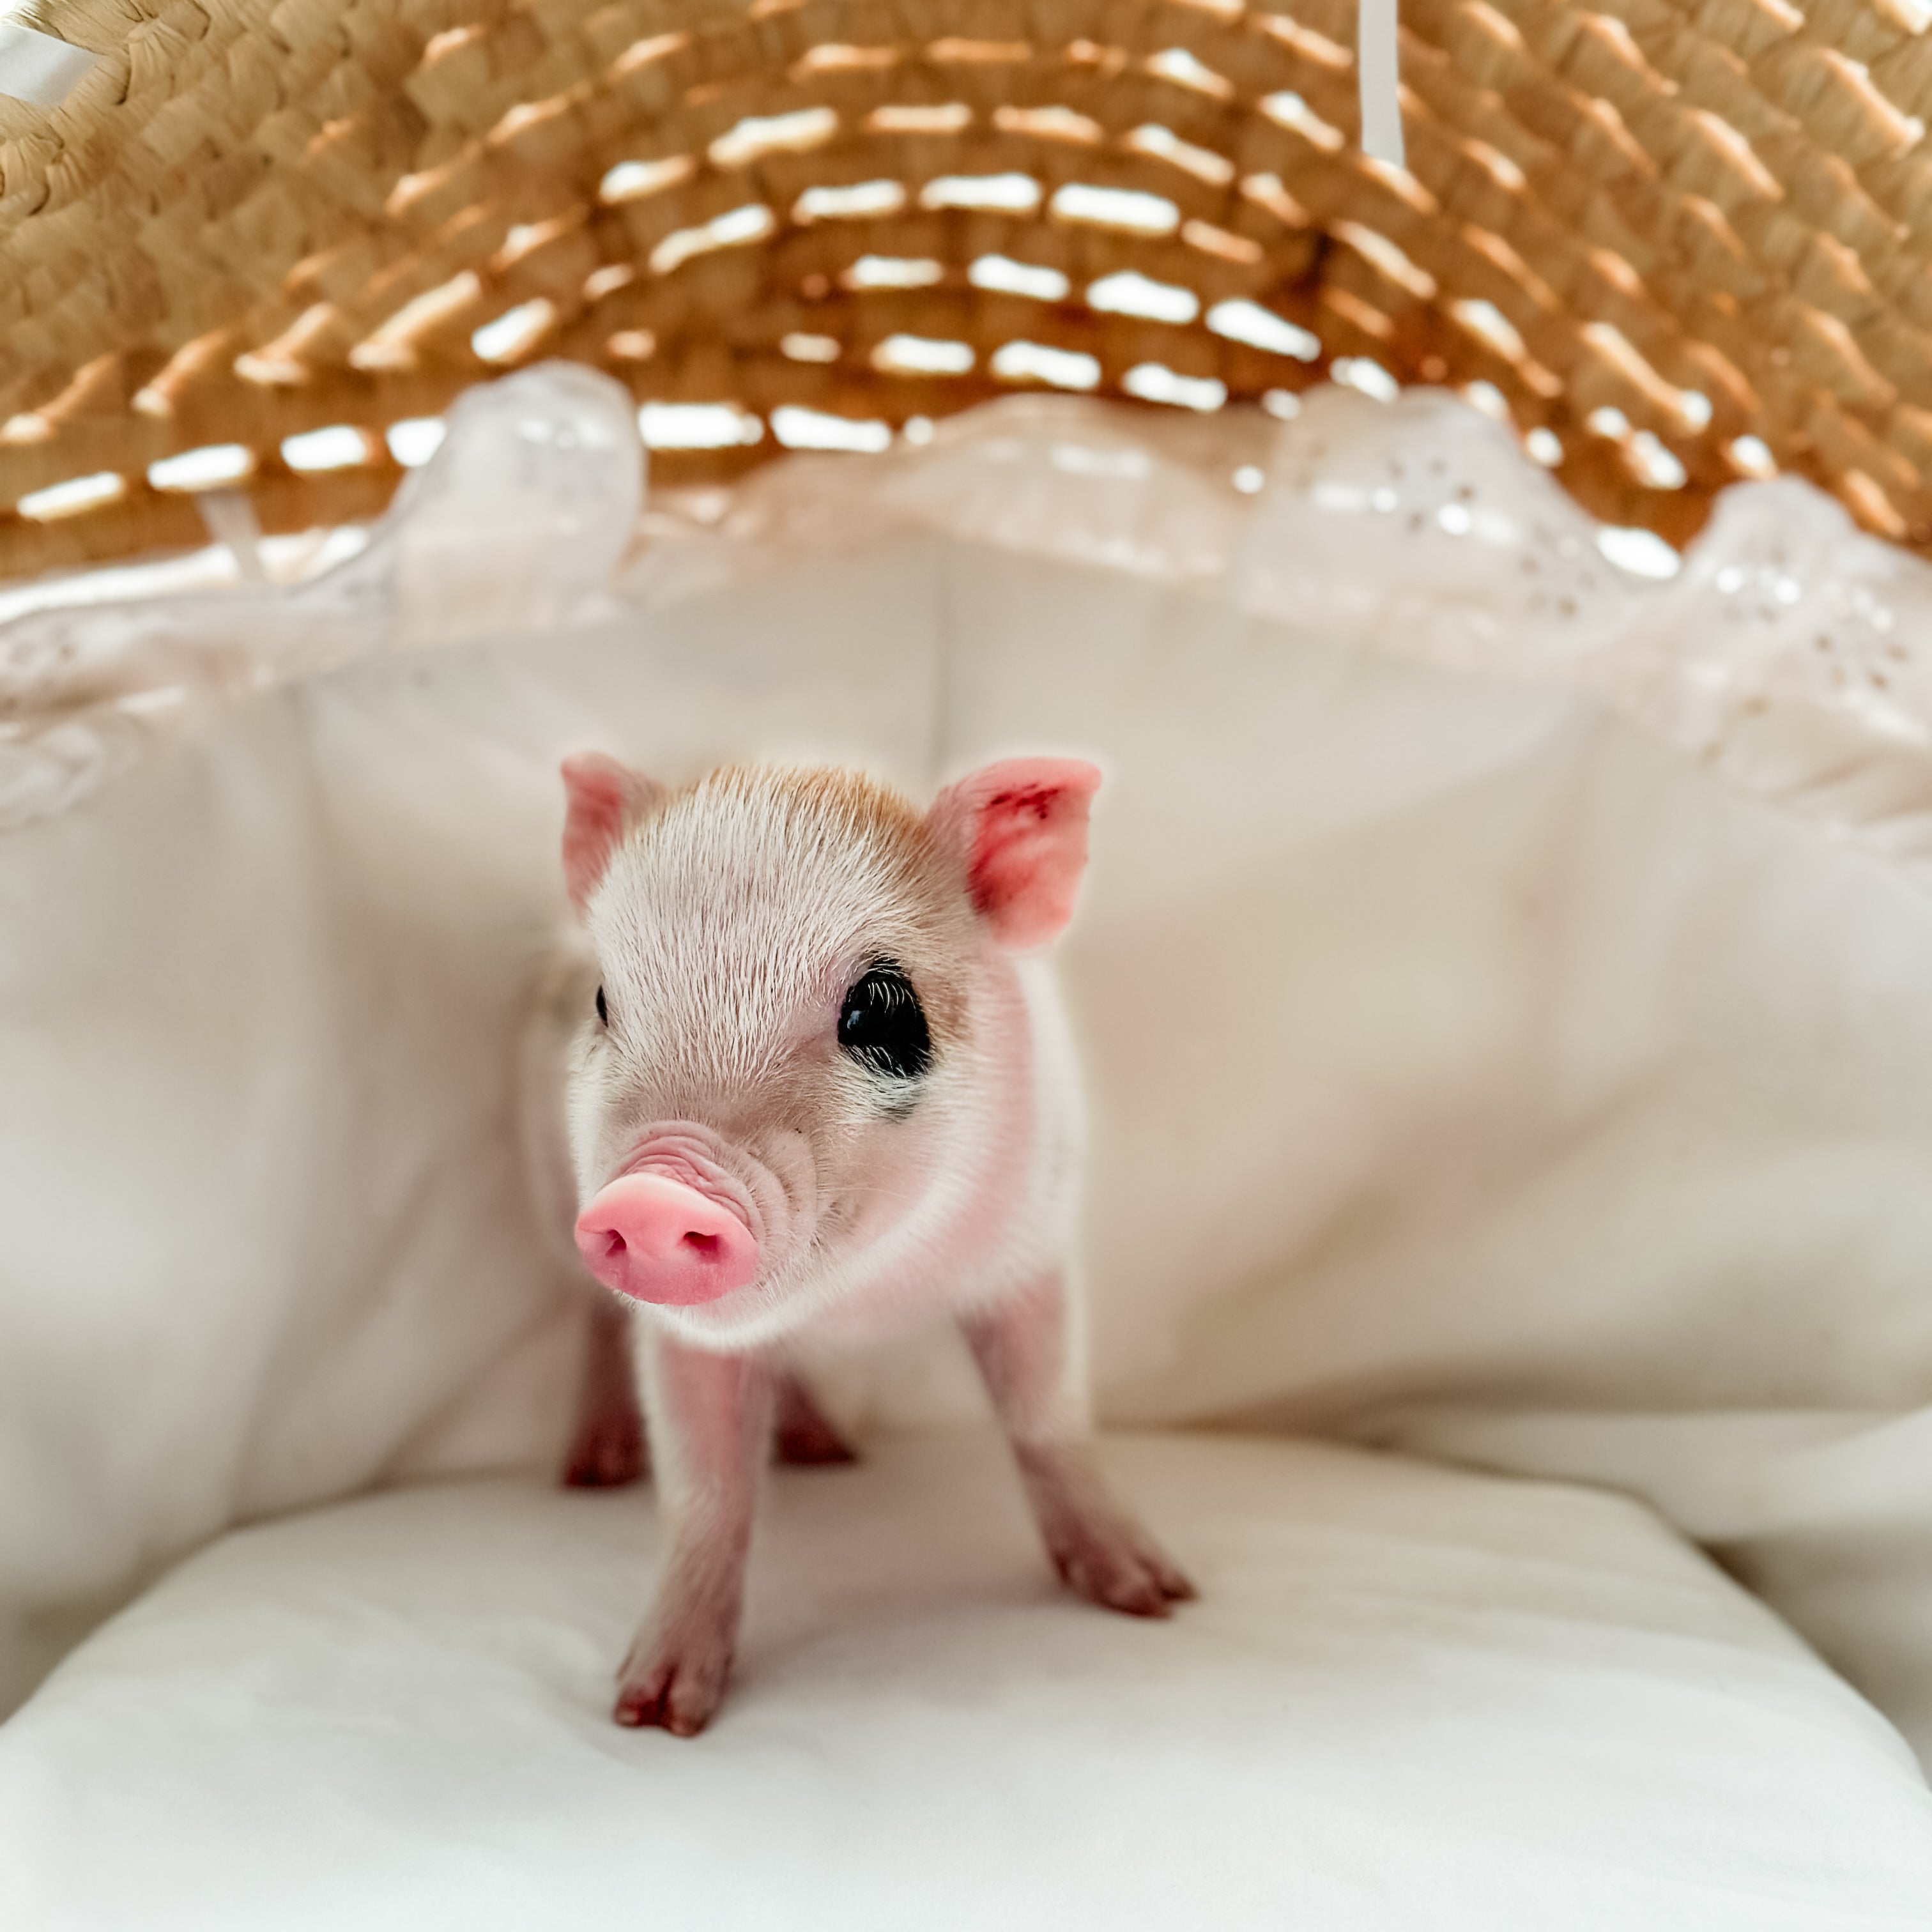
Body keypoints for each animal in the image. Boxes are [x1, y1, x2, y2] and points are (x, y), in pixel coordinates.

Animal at [541, 752, 1194, 1736]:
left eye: (884, 1013)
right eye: (603, 1002)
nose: (652, 1193)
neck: (869, 1299)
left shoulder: (1033, 1245)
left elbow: (1049, 1417)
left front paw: (1157, 1598)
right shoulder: (682, 1335)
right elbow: (706, 1490)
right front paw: (653, 1716)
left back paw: (832, 1452)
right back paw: (591, 1473)